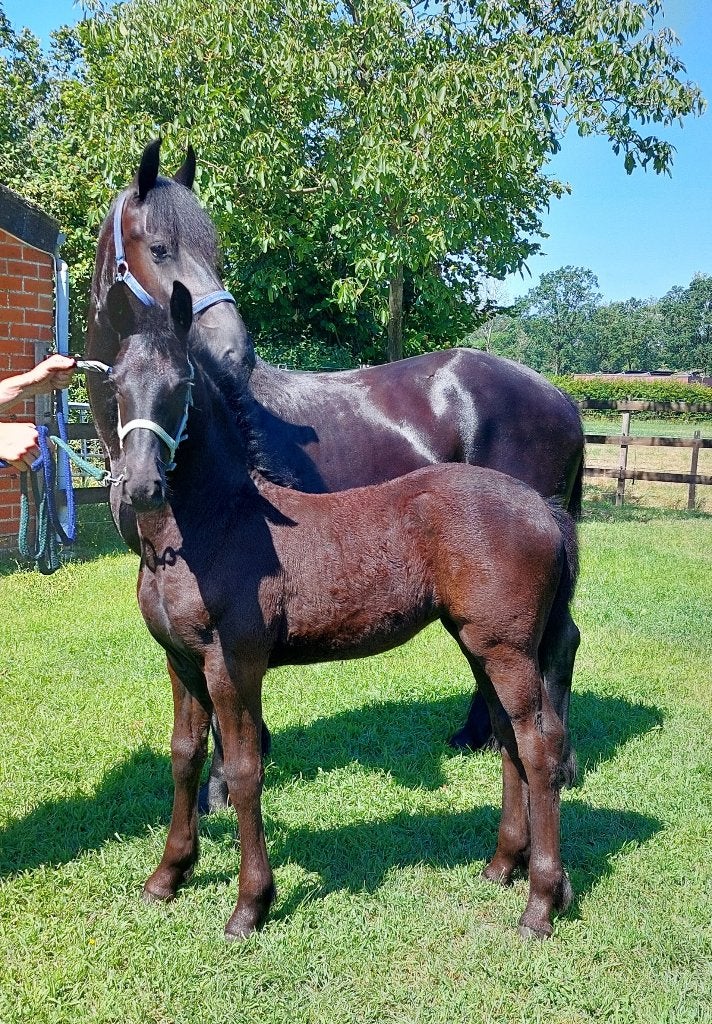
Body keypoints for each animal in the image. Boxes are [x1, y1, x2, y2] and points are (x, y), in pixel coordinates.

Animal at [85, 139, 584, 812]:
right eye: (160, 248)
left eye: (215, 250)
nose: (234, 349)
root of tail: (560, 396)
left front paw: (220, 785)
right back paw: (480, 736)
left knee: (553, 649)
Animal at [104, 279, 578, 940]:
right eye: (117, 383)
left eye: (182, 384)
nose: (142, 485)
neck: (216, 527)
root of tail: (545, 511)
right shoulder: (182, 663)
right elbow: (184, 757)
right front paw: (167, 878)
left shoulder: (234, 664)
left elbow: (244, 769)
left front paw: (250, 905)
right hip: (480, 644)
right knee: (509, 738)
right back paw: (502, 866)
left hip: (507, 649)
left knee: (539, 745)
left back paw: (540, 902)